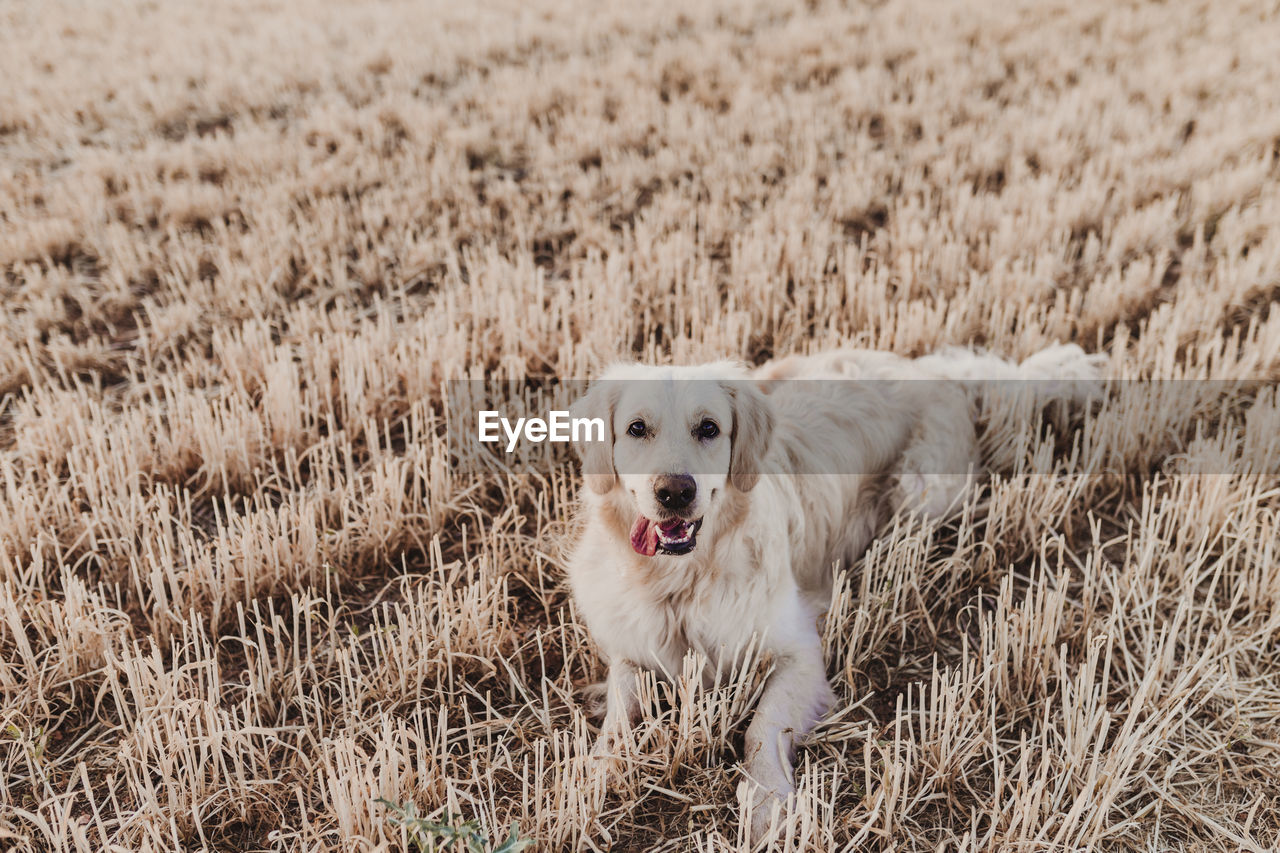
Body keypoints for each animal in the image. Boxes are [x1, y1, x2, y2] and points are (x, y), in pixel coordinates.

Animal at [565, 343, 1105, 840]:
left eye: (709, 429)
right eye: (637, 429)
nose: (675, 492)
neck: (682, 580)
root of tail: (928, 368)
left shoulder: (799, 654)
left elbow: (761, 726)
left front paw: (767, 803)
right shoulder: (631, 650)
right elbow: (617, 720)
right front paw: (594, 775)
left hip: (921, 491)